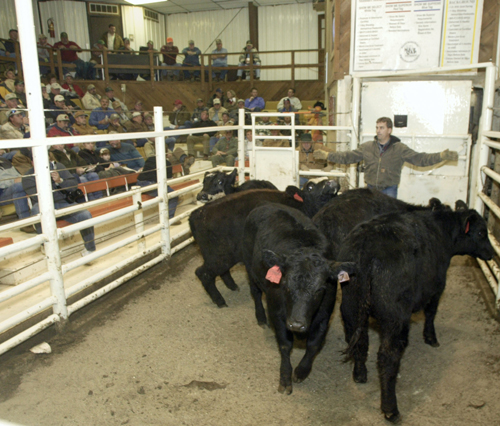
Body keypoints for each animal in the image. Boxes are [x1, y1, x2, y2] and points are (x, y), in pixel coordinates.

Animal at [189, 178, 342, 308]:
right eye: (310, 187)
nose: (331, 182)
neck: (301, 205)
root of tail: (198, 213)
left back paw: (232, 286)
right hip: (219, 257)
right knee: (203, 273)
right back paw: (220, 301)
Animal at [242, 205, 356, 394]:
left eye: (320, 289)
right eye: (285, 285)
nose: (296, 324)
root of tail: (265, 205)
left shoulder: (324, 314)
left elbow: (314, 344)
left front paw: (302, 370)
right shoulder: (278, 313)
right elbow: (285, 344)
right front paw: (285, 377)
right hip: (249, 267)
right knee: (256, 293)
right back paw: (261, 318)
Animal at [338, 203, 494, 422]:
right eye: (481, 232)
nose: (492, 253)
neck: (441, 231)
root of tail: (366, 248)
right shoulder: (437, 287)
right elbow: (431, 313)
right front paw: (431, 337)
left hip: (351, 306)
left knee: (360, 340)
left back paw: (360, 374)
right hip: (395, 317)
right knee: (388, 357)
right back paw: (391, 409)